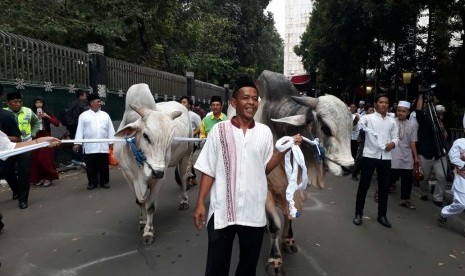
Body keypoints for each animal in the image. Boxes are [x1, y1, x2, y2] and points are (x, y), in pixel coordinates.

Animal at [113, 83, 191, 244]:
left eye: (170, 140)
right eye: (146, 136)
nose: (157, 172)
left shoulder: (159, 178)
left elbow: (150, 206)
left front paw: (148, 232)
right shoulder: (128, 176)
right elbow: (139, 202)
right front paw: (142, 223)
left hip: (186, 155)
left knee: (183, 178)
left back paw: (184, 201)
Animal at [227, 70, 352, 274]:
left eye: (352, 126)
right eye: (325, 128)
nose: (349, 167)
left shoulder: (297, 187)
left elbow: (290, 214)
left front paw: (289, 240)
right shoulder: (267, 187)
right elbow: (274, 225)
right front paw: (275, 260)